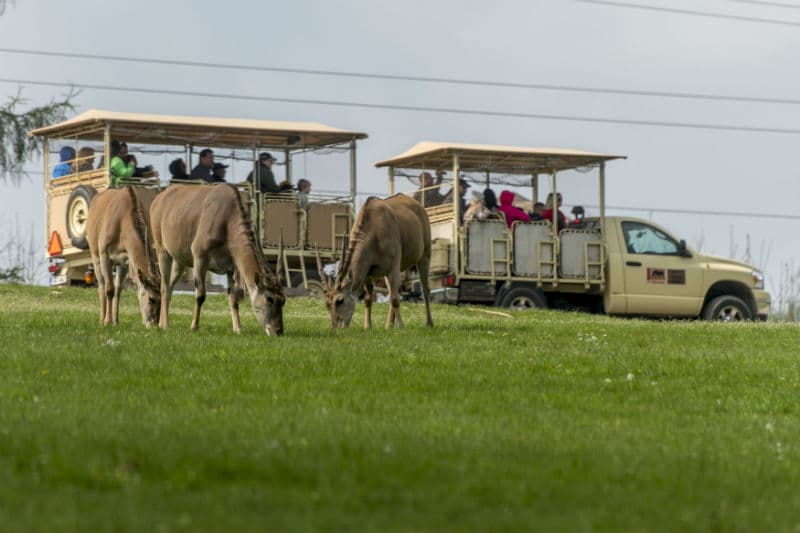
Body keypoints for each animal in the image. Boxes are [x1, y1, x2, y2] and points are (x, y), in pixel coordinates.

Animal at [86, 187, 161, 328]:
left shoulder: (125, 261)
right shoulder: (105, 254)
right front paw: (107, 321)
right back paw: (101, 319)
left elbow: (118, 289)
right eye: (151, 299)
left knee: (116, 287)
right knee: (101, 286)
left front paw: (115, 321)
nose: (154, 324)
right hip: (95, 256)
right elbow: (109, 289)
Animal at [151, 183, 288, 332]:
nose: (278, 331)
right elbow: (200, 295)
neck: (228, 220)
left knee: (170, 286)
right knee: (164, 287)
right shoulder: (200, 258)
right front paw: (194, 327)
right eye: (269, 298)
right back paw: (166, 326)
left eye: (283, 300)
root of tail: (158, 199)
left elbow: (233, 298)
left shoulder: (231, 269)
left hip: (179, 261)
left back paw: (160, 323)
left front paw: (238, 329)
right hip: (162, 251)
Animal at [316, 193, 434, 328]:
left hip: (424, 256)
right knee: (394, 291)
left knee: (424, 290)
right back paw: (388, 325)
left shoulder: (393, 267)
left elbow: (394, 299)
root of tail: (418, 206)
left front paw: (401, 326)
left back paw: (429, 323)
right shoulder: (368, 271)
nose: (337, 327)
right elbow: (369, 298)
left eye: (340, 300)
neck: (374, 228)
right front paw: (368, 326)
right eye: (327, 304)